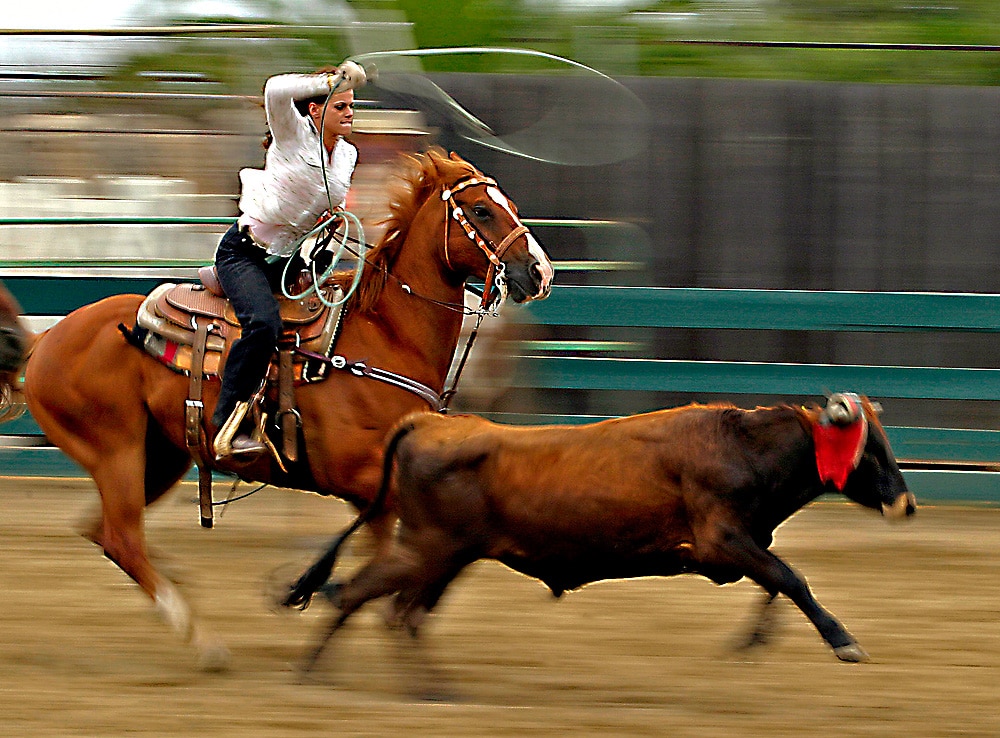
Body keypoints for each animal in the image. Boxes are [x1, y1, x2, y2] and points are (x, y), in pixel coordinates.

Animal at [0, 147, 556, 664]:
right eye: (481, 210)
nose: (540, 272)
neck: (384, 337)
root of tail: (45, 340)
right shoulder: (361, 477)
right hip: (115, 450)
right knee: (121, 537)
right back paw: (203, 640)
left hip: (160, 456)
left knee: (103, 530)